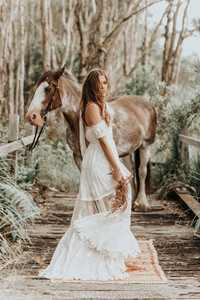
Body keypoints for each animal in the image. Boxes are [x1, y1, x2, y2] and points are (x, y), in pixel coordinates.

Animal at [26, 65, 156, 211]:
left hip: (145, 145)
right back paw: (131, 202)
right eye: (36, 88)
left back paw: (142, 204)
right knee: (131, 169)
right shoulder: (78, 156)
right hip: (127, 151)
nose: (31, 116)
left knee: (142, 171)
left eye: (47, 88)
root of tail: (147, 104)